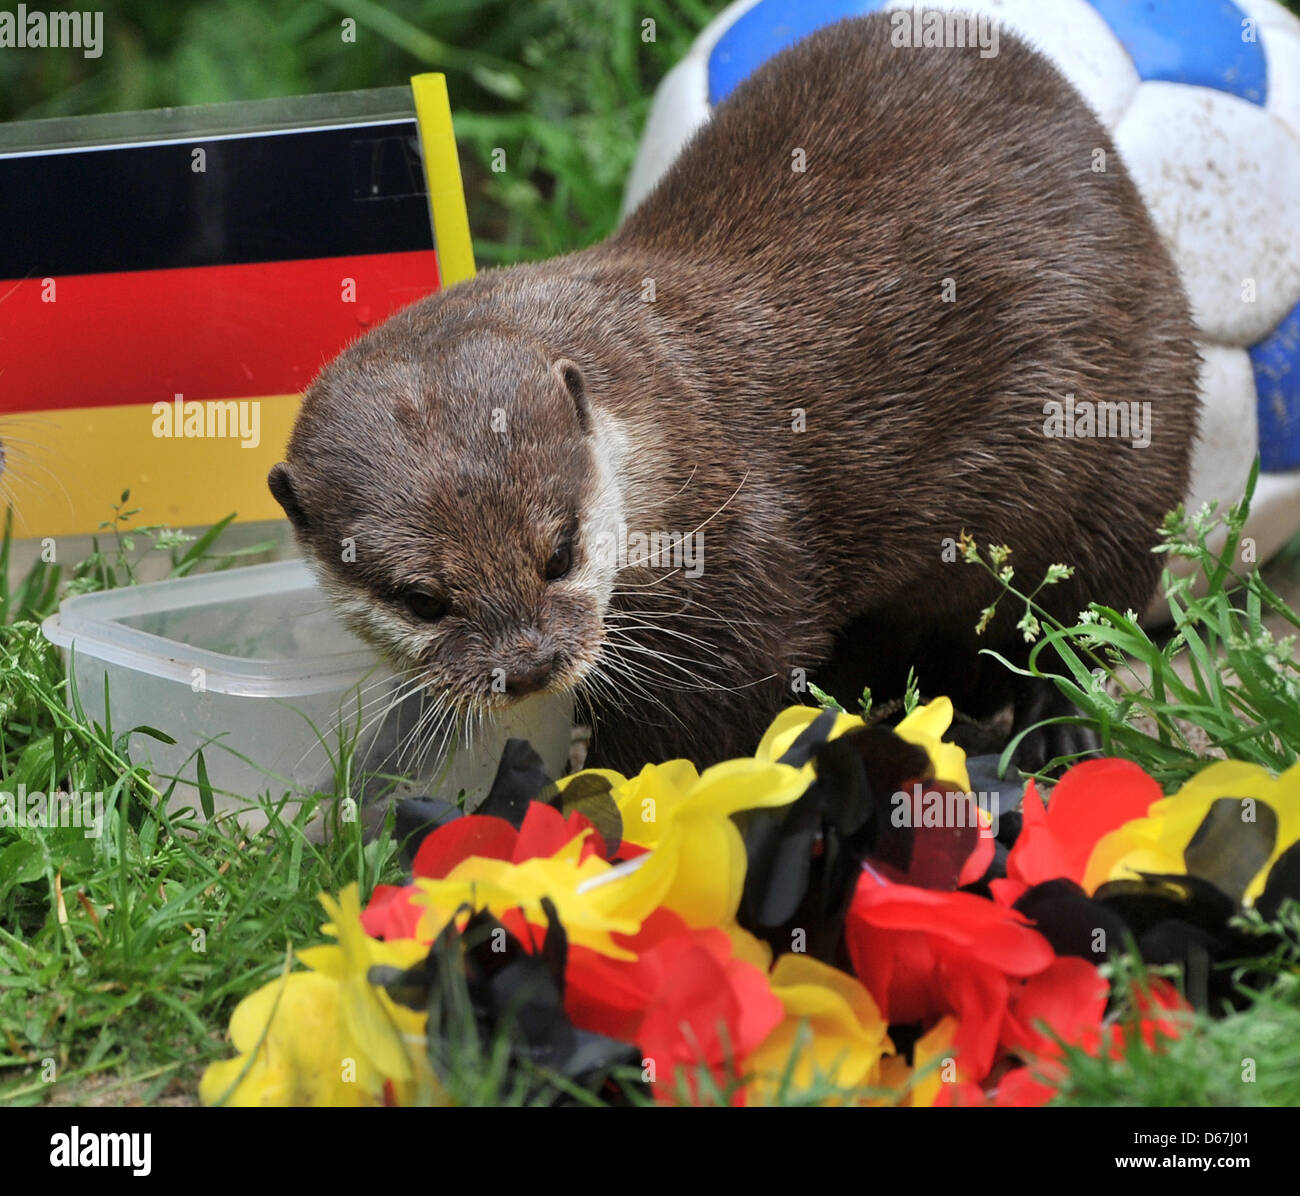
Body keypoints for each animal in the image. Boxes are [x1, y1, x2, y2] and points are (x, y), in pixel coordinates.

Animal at [268, 15, 1199, 776]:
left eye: (560, 552)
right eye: (422, 599)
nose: (530, 665)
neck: (668, 424)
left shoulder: (747, 574)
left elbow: (701, 724)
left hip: (1128, 464)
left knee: (1084, 615)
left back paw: (1054, 727)